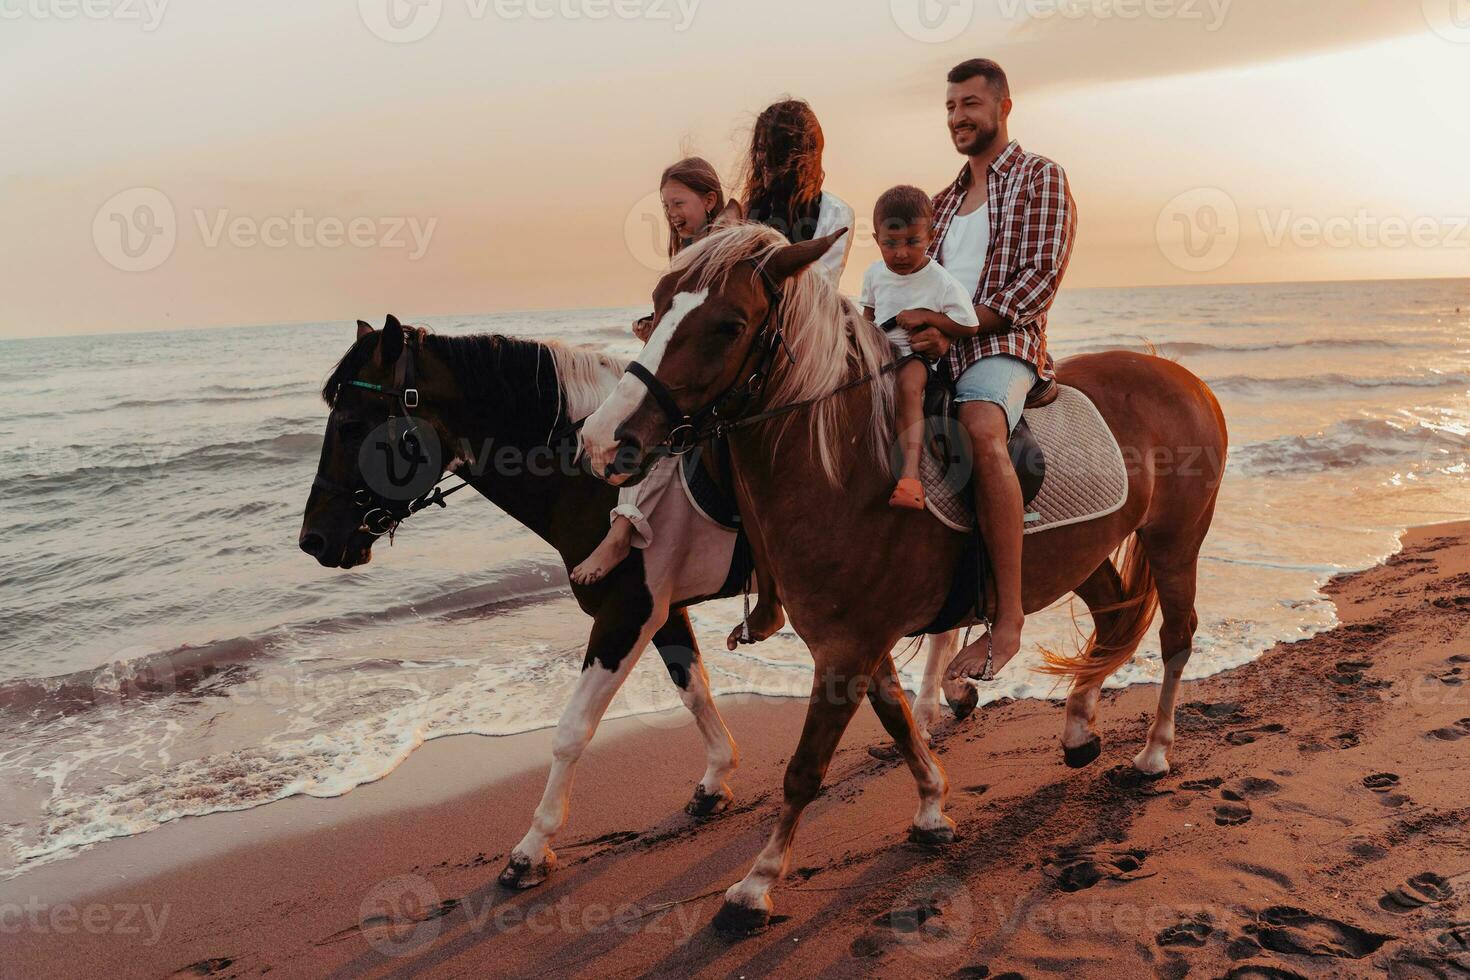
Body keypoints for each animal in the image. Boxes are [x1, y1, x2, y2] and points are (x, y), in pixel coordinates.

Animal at [582, 224, 1228, 934]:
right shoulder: (858, 642)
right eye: (655, 308)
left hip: (1175, 541)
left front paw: (756, 884)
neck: (846, 469)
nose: (603, 440)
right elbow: (896, 721)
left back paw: (1154, 753)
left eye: (729, 325)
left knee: (1176, 638)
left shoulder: (847, 648)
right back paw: (1079, 730)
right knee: (1112, 620)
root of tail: (1180, 376)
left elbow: (805, 769)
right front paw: (931, 809)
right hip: (1083, 554)